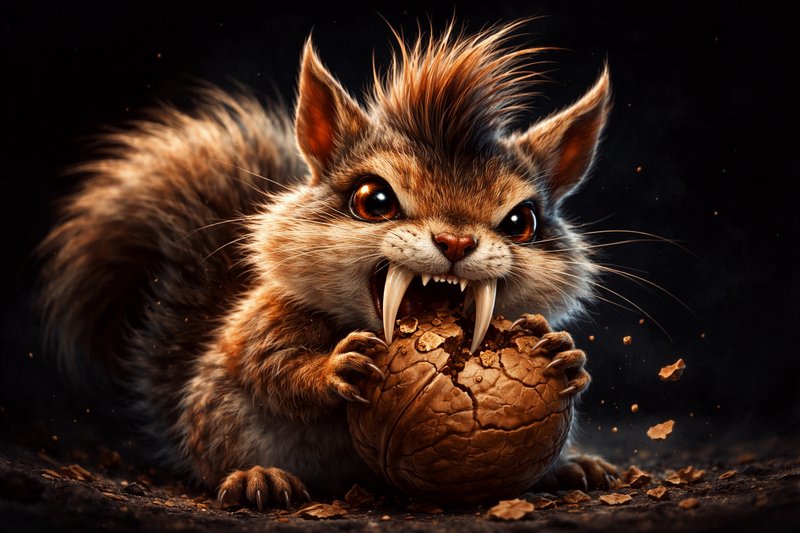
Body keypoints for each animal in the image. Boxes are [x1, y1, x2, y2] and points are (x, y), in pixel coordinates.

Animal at [39, 21, 617, 509]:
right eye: (372, 200)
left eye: (523, 221)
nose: (455, 241)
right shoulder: (267, 319)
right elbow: (273, 366)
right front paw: (335, 367)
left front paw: (566, 357)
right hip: (221, 417)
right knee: (220, 458)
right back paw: (256, 477)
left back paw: (573, 469)